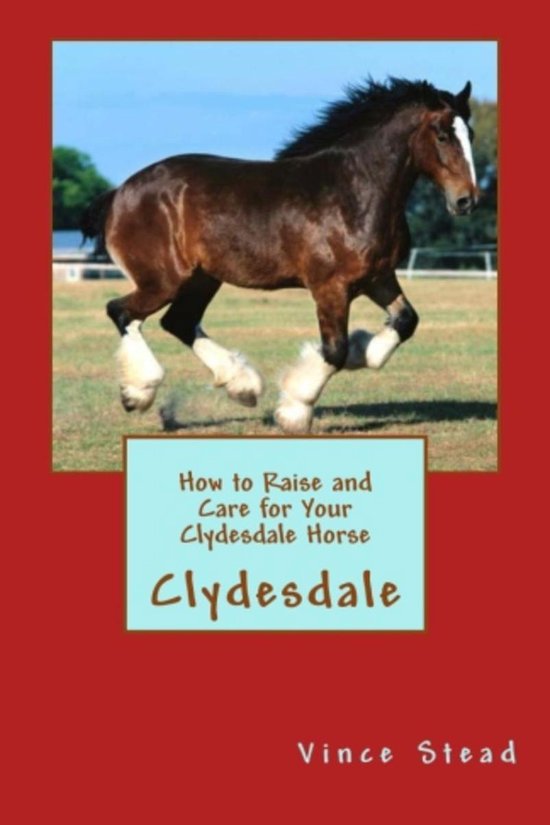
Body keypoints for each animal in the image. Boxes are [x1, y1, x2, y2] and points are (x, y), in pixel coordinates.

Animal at [81, 77, 478, 433]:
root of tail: (119, 194)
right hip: (163, 280)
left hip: (202, 279)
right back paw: (138, 393)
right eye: (442, 134)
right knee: (122, 312)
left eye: (470, 134)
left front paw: (361, 350)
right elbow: (334, 349)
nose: (466, 201)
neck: (353, 192)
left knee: (177, 322)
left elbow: (405, 321)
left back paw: (242, 386)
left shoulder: (378, 278)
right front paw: (294, 411)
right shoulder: (330, 288)